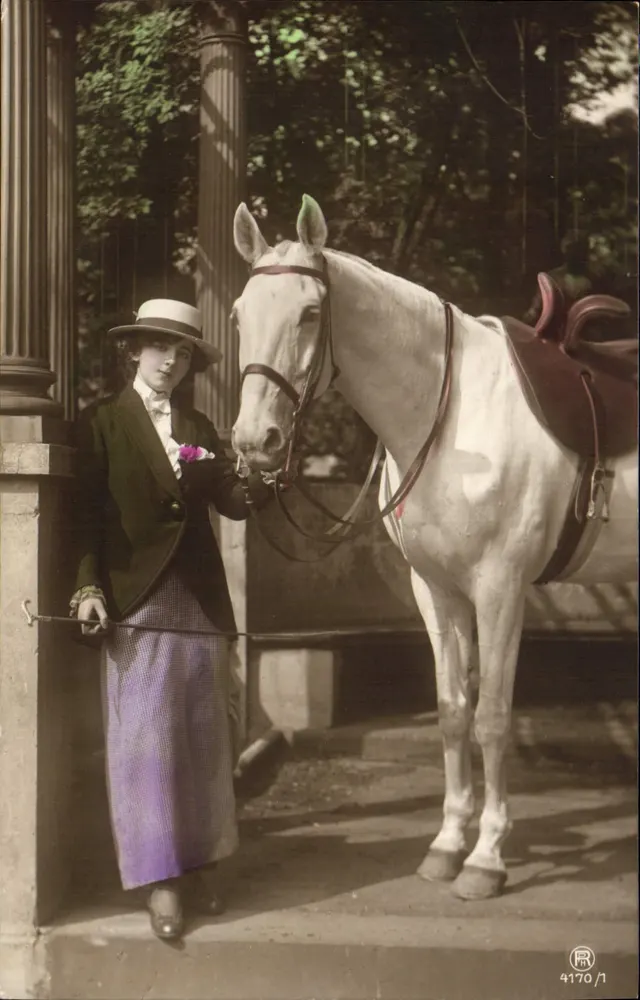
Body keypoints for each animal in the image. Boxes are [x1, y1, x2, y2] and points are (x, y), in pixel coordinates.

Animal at [230, 194, 638, 900]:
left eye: (309, 313)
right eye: (236, 315)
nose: (256, 440)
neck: (451, 415)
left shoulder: (500, 589)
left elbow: (493, 716)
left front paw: (487, 859)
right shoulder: (438, 591)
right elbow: (452, 711)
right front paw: (448, 844)